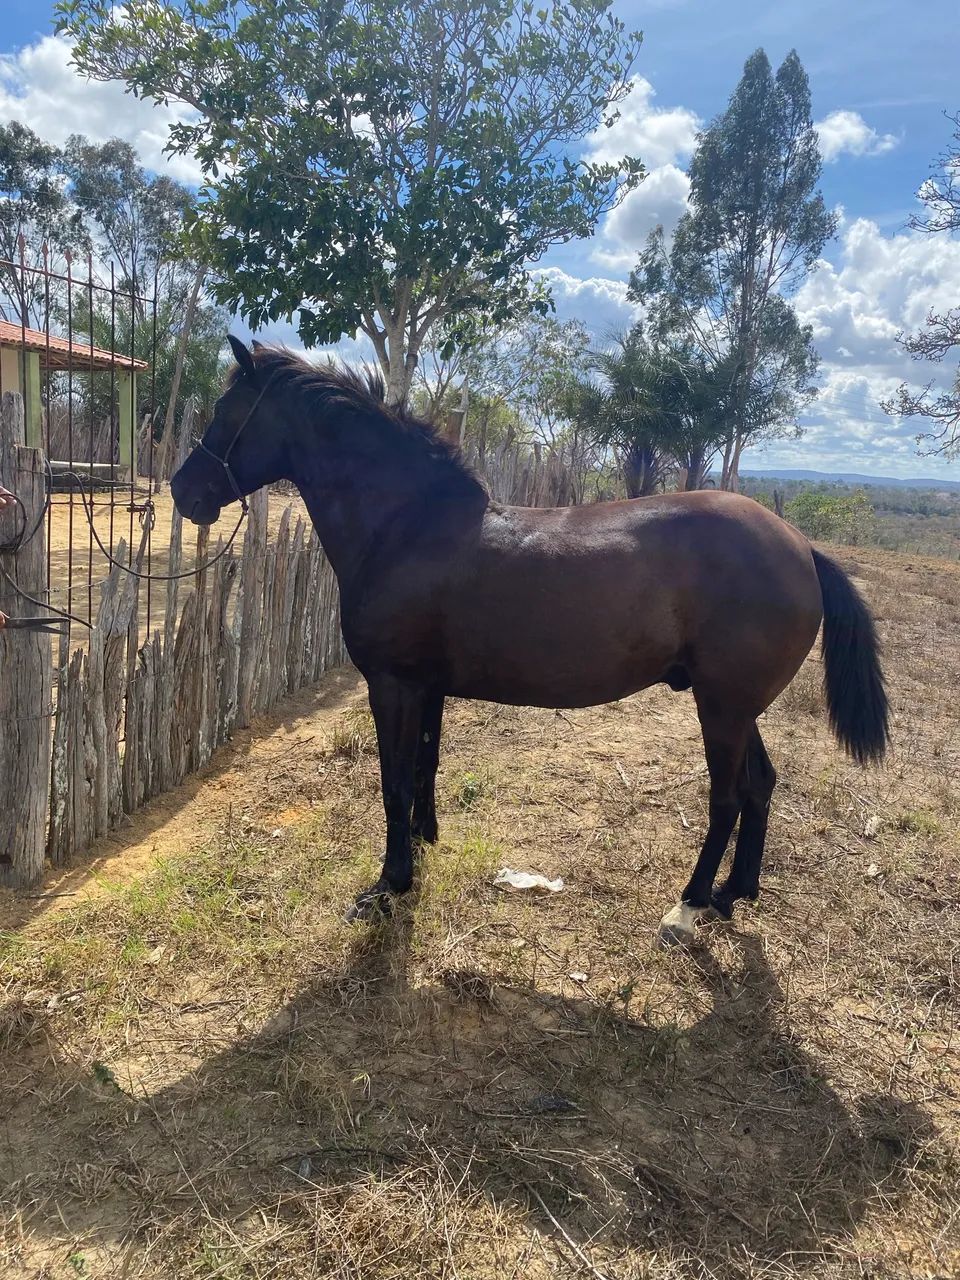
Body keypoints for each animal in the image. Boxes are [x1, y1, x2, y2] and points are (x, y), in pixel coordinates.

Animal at [171, 337, 889, 946]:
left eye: (227, 410)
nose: (184, 491)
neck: (408, 527)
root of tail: (801, 547)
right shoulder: (427, 687)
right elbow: (425, 765)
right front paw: (424, 847)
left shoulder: (393, 685)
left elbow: (394, 781)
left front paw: (388, 885)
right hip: (736, 705)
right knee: (762, 784)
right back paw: (733, 894)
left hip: (724, 707)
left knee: (728, 798)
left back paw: (687, 905)